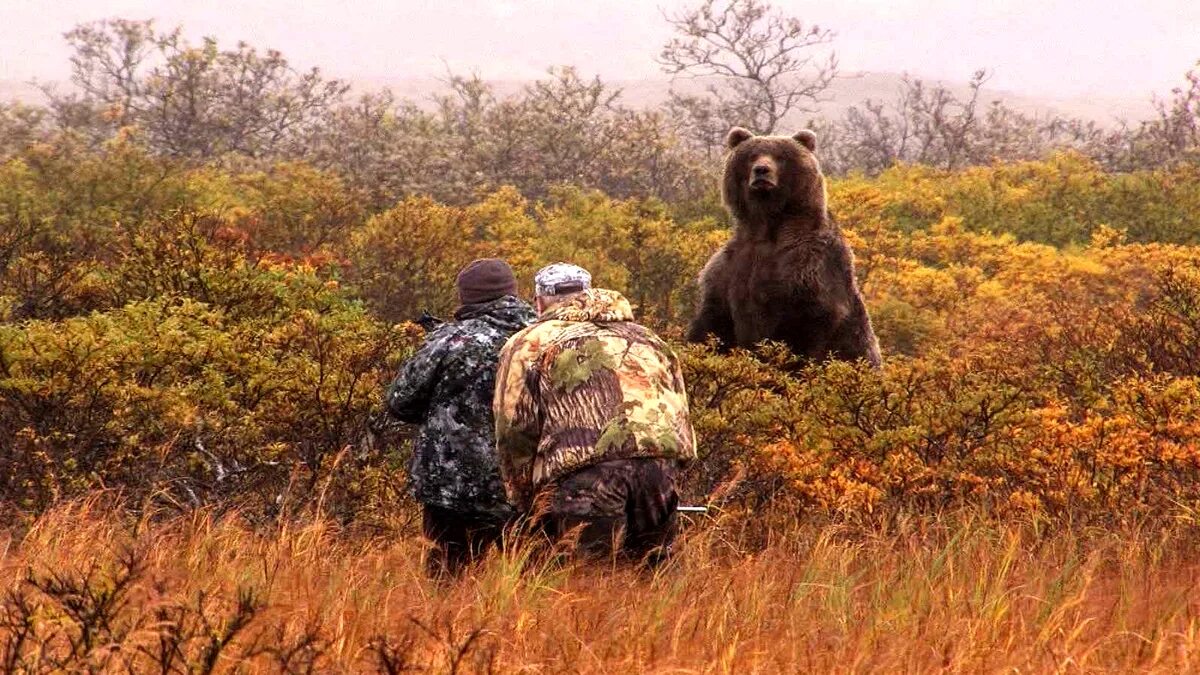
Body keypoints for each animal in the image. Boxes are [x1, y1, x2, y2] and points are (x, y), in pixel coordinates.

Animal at [686, 126, 883, 367]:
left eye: (780, 156)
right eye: (752, 155)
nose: (761, 170)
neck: (768, 227)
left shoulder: (807, 268)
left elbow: (803, 326)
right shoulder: (731, 267)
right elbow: (713, 322)